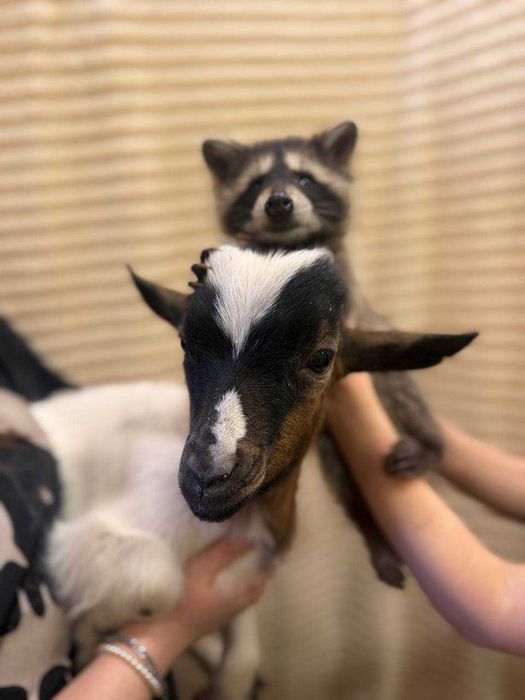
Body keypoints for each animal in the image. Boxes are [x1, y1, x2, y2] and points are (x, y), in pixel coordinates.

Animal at [35, 246, 474, 699]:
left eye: (321, 358)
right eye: (184, 342)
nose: (207, 477)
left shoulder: (237, 581)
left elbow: (241, 663)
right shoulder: (86, 538)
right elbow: (155, 580)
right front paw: (90, 631)